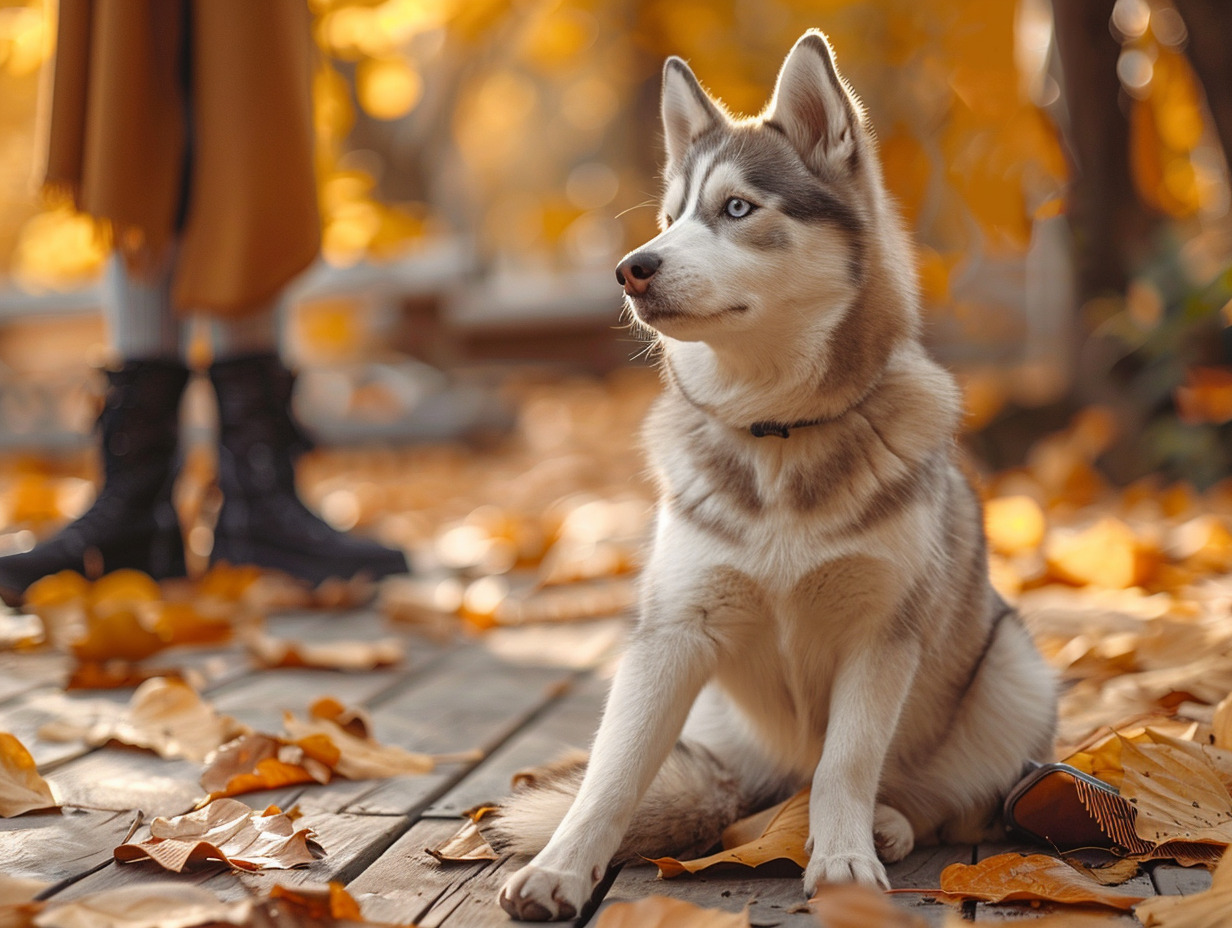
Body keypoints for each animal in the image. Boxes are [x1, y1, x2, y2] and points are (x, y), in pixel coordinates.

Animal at [490, 28, 1059, 921]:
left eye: (736, 209)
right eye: (671, 218)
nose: (632, 267)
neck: (777, 430)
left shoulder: (881, 633)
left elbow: (847, 765)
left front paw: (846, 858)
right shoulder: (674, 633)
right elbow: (613, 772)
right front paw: (560, 868)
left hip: (1011, 672)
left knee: (943, 800)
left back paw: (890, 825)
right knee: (737, 795)